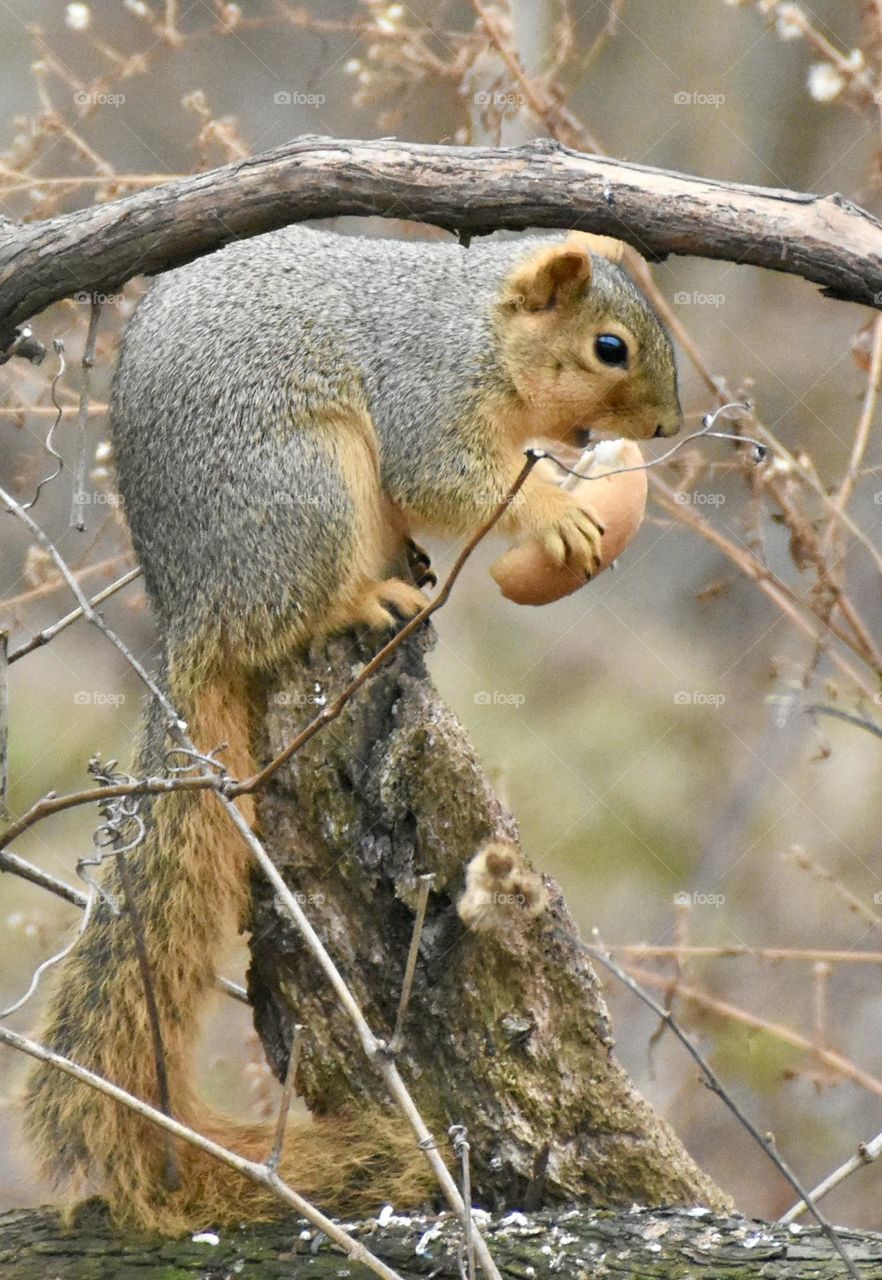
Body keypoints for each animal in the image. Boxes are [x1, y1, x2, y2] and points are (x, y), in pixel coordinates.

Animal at [22, 225, 681, 1233]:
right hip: (307, 489)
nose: (667, 428)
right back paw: (369, 598)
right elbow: (445, 478)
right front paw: (560, 514)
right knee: (291, 614)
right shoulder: (429, 395)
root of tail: (190, 611)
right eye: (610, 347)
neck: (480, 329)